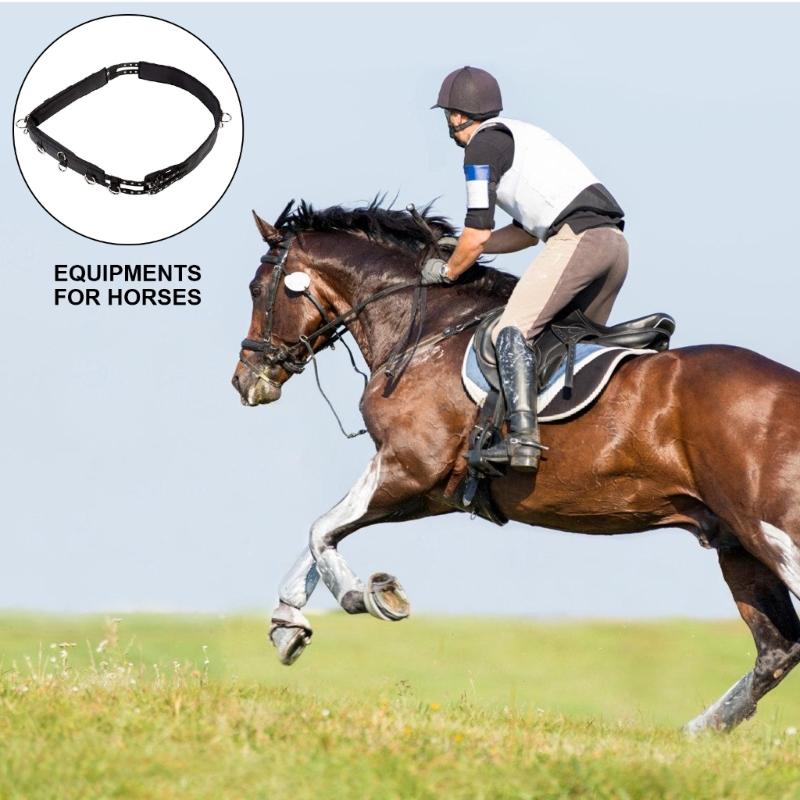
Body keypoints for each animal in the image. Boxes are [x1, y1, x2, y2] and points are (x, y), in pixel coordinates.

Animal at [231, 199, 800, 733]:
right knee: (777, 650)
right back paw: (696, 733)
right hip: (734, 540)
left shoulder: (410, 467)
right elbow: (324, 532)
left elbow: (322, 528)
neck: (426, 331)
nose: (245, 380)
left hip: (770, 531)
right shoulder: (434, 490)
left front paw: (366, 595)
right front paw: (287, 625)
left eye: (258, 289)